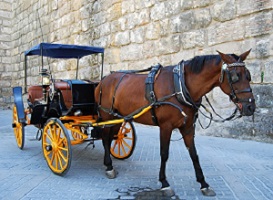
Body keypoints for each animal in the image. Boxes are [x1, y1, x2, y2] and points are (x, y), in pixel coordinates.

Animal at [94, 50, 255, 197]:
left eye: (248, 75)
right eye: (235, 76)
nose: (250, 107)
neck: (180, 86)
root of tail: (103, 80)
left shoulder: (188, 127)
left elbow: (194, 154)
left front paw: (203, 183)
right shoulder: (166, 127)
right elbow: (164, 154)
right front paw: (164, 183)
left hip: (118, 117)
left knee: (111, 137)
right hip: (107, 115)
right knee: (105, 139)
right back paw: (109, 166)